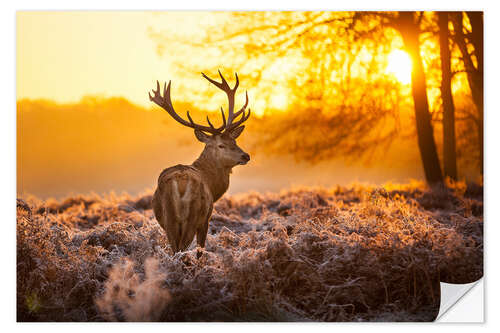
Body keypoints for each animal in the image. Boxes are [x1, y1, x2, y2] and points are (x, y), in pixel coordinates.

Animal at [147, 71, 250, 255]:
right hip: (193, 216)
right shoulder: (206, 219)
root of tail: (180, 183)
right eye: (221, 145)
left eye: (235, 141)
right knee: (182, 249)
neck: (213, 186)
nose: (246, 156)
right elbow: (201, 248)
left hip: (168, 219)